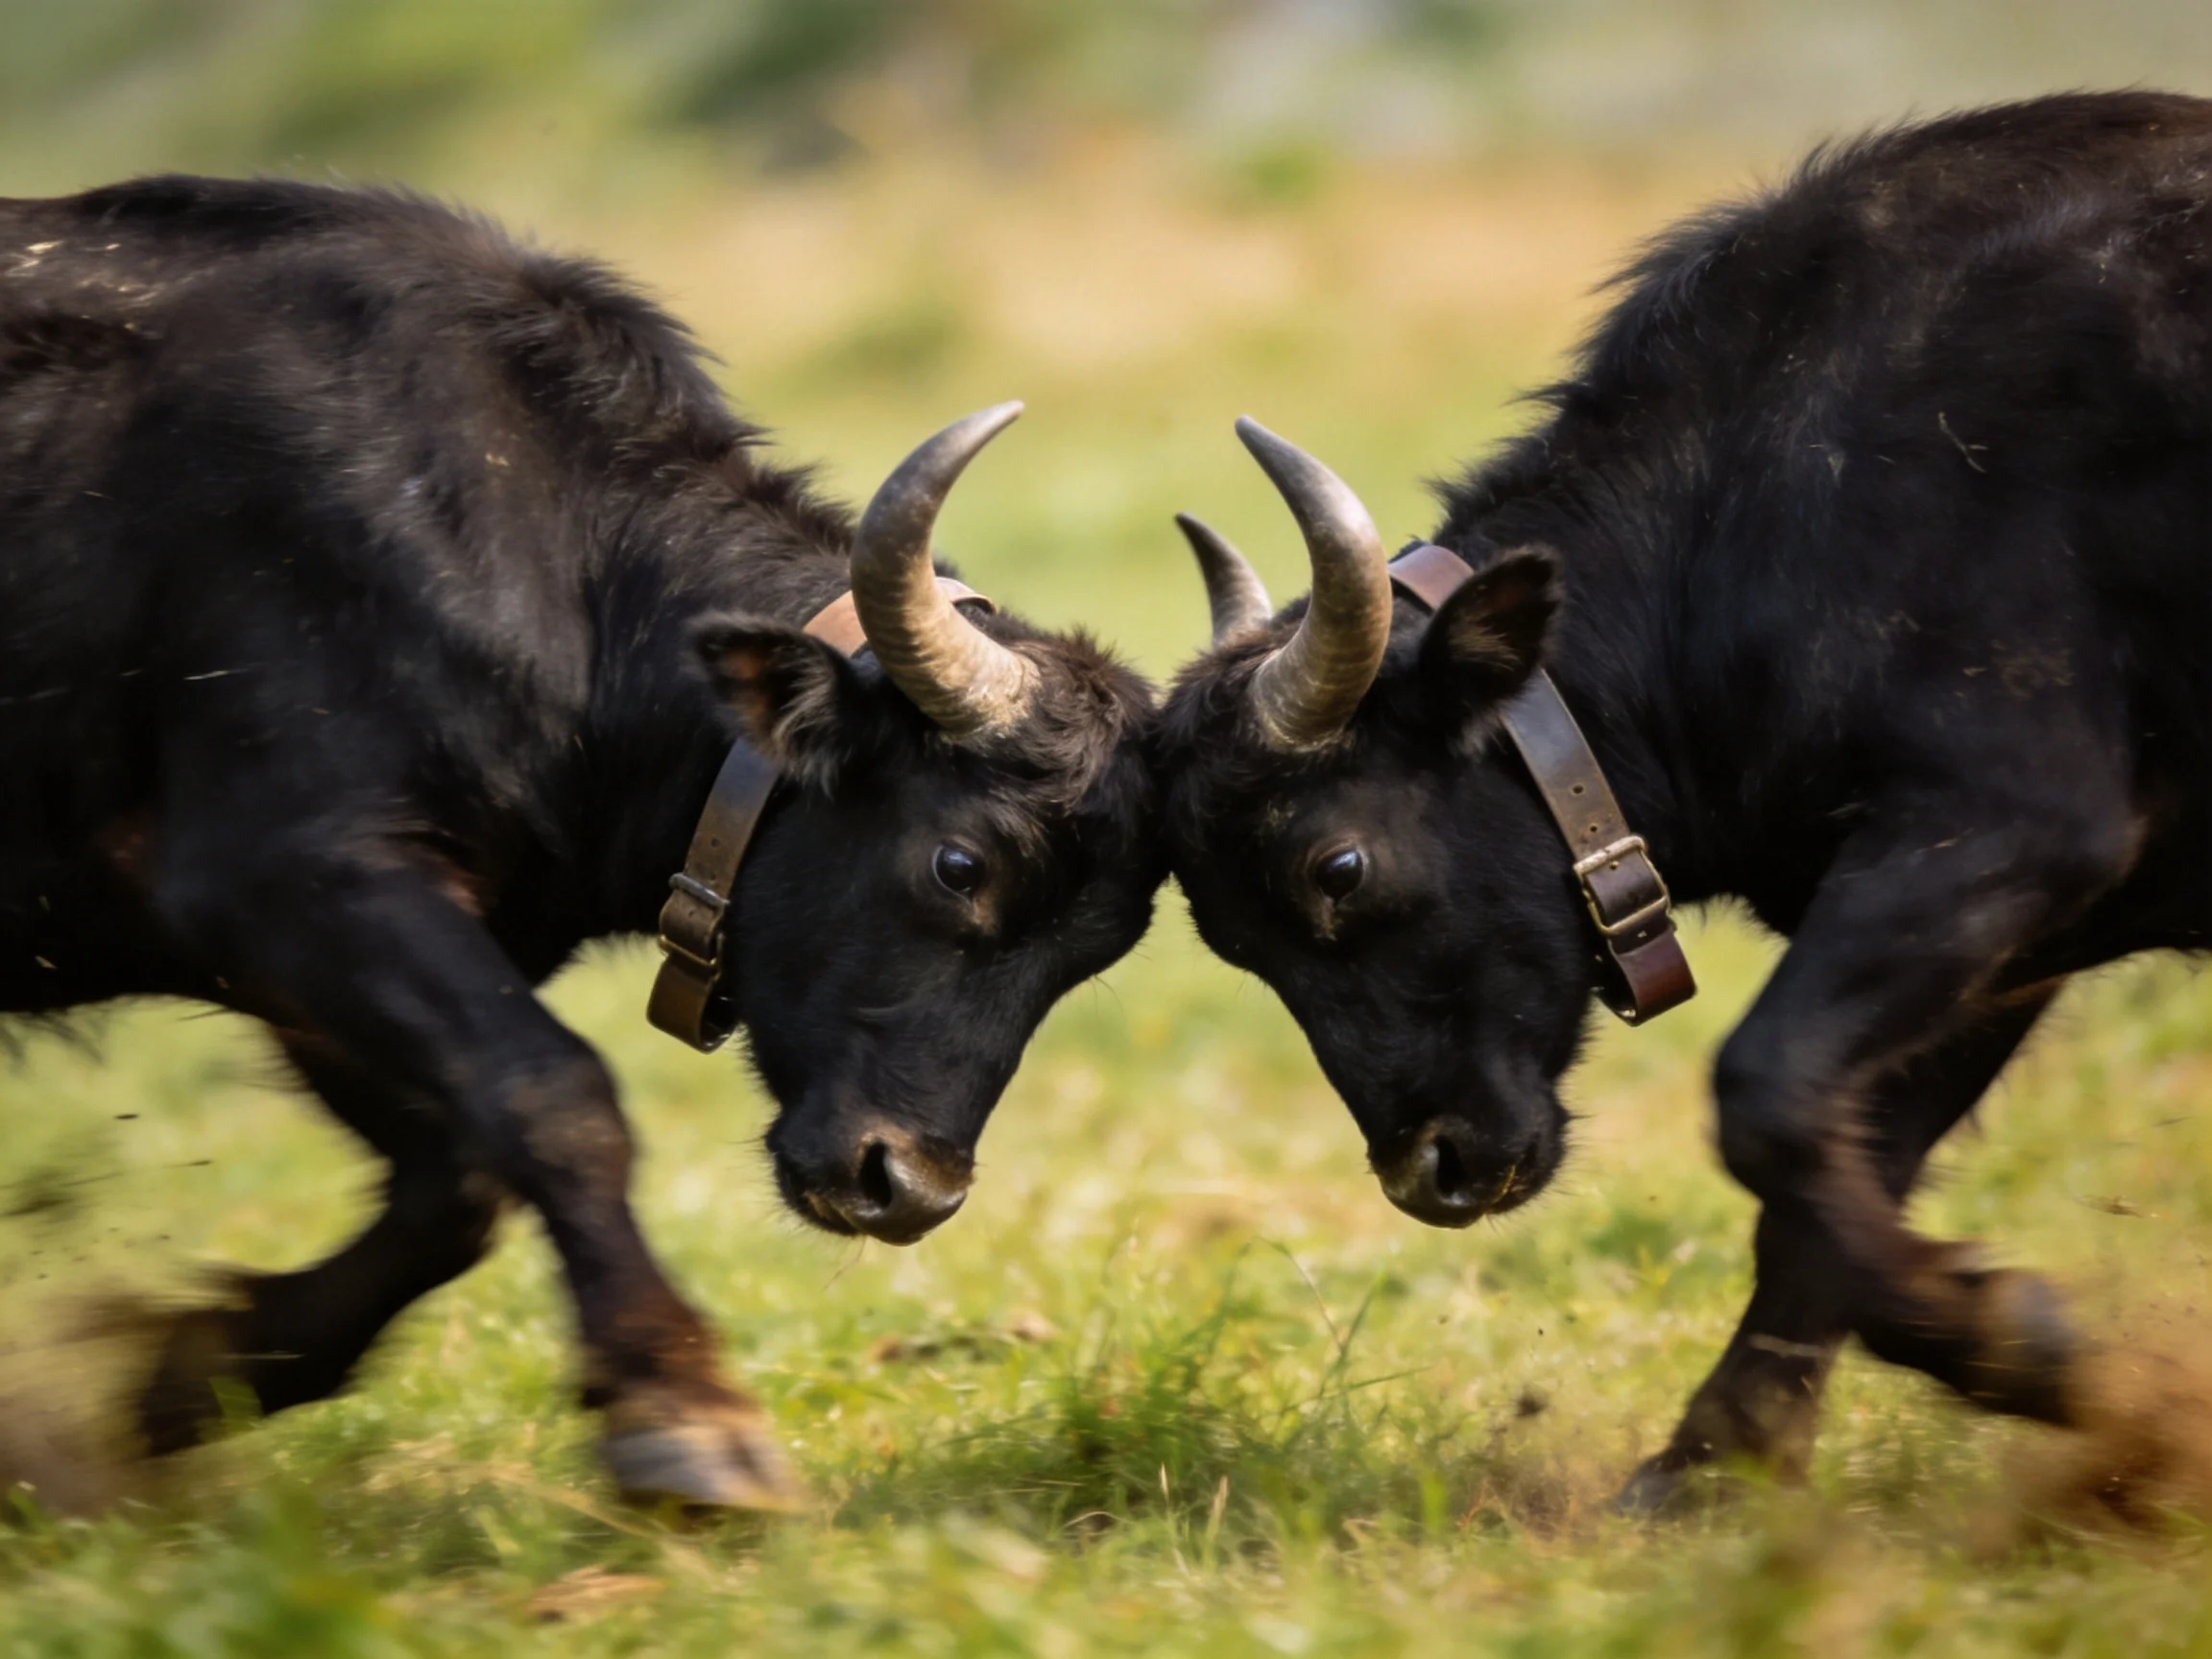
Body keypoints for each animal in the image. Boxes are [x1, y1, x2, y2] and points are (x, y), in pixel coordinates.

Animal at [0, 176, 1162, 1509]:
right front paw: (688, 1420)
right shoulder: (288, 880)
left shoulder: (329, 961)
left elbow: (455, 1184)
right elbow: (554, 1095)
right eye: (959, 863)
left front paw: (180, 1382)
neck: (534, 559)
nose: (906, 1188)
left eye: (1096, 950)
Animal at [1154, 93, 2212, 1509]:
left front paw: (2051, 1357)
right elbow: (1829, 1177)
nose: (1432, 1171)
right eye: (1229, 941)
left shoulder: (2006, 830)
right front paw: (1713, 1470)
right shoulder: (2002, 935)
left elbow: (1764, 1096)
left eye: (1338, 867)